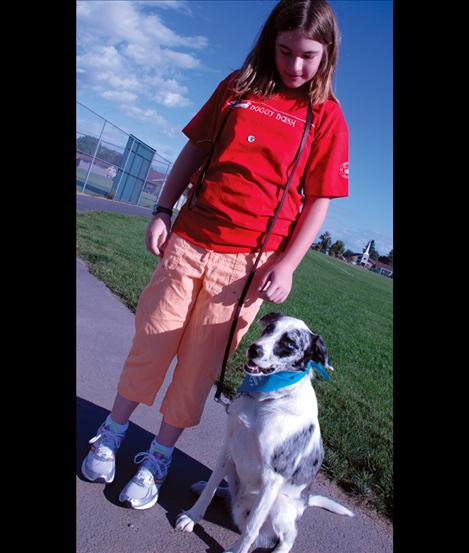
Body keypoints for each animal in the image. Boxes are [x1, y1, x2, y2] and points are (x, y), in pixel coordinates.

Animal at [176, 312, 352, 548]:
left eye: (289, 344)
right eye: (269, 329)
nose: (254, 349)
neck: (265, 398)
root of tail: (305, 502)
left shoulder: (273, 478)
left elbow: (251, 528)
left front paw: (236, 550)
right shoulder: (228, 449)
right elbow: (209, 490)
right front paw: (192, 516)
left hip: (280, 504)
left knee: (288, 537)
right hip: (236, 470)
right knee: (226, 489)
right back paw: (217, 490)